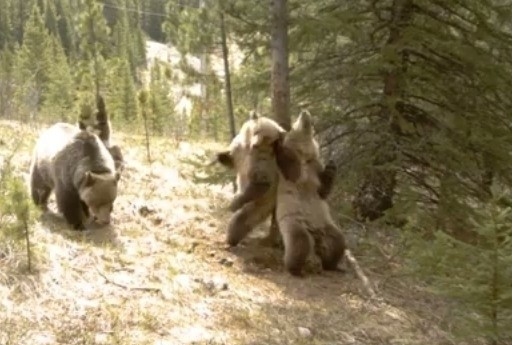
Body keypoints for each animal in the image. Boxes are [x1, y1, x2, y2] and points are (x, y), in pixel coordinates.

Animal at [274, 109, 346, 276]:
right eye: (295, 123)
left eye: (311, 121)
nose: (304, 112)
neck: (305, 155)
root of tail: (316, 233)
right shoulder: (297, 171)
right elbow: (293, 172)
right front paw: (279, 144)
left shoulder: (315, 166)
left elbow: (323, 190)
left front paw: (331, 167)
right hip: (294, 223)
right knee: (300, 242)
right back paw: (295, 269)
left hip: (326, 224)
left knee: (338, 242)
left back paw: (333, 266)